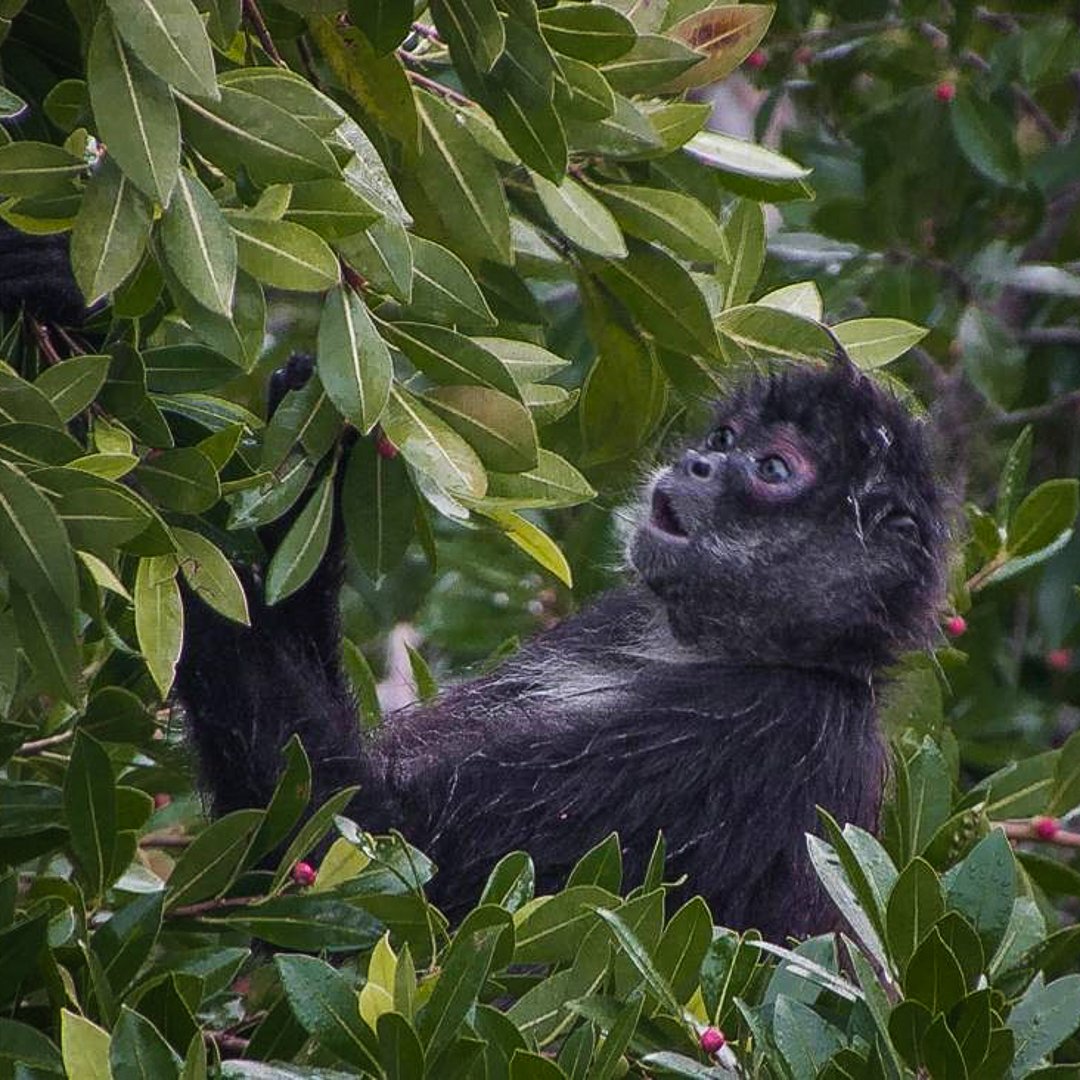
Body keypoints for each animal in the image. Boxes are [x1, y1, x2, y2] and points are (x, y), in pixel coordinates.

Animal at [179, 352, 946, 937]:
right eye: (727, 439)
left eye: (774, 470)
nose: (697, 462)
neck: (717, 651)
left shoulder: (771, 726)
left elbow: (373, 839)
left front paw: (180, 555)